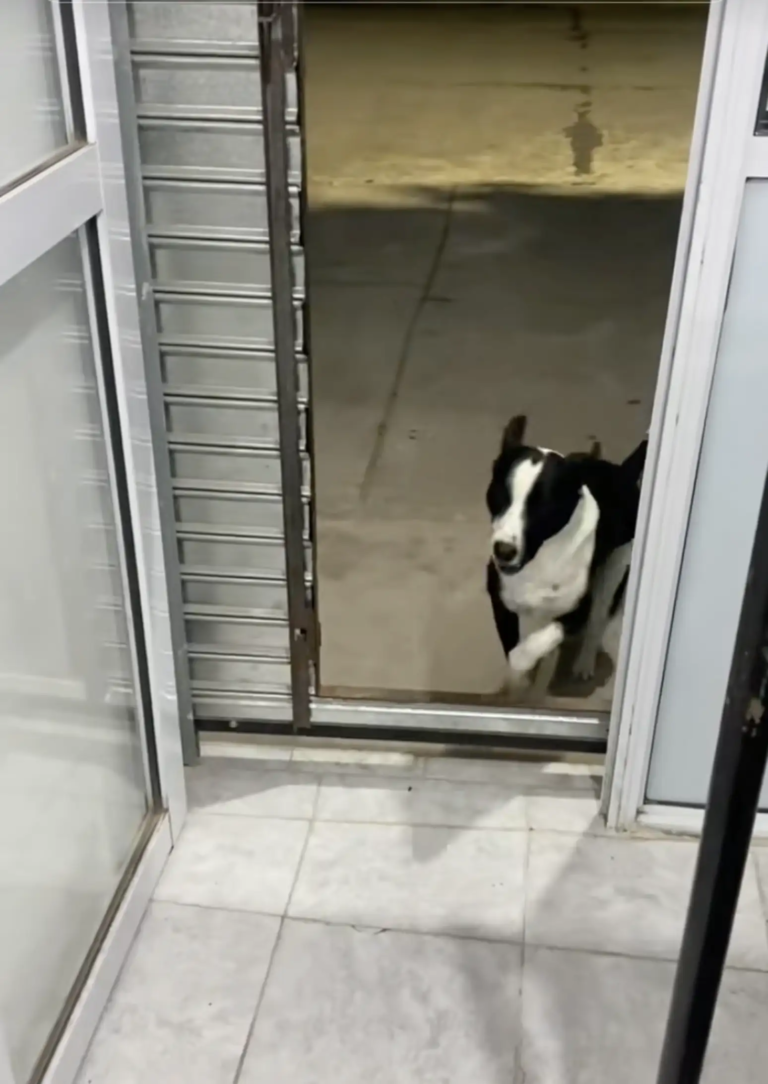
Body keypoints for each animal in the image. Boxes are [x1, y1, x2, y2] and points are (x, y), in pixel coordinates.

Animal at [485, 414, 646, 693]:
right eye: (499, 495)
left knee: (597, 621)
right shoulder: (501, 602)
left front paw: (524, 663)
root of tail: (620, 471)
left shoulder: (577, 612)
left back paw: (584, 664)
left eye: (543, 506)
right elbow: (513, 643)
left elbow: (533, 645)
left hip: (614, 570)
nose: (503, 551)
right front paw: (518, 680)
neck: (541, 557)